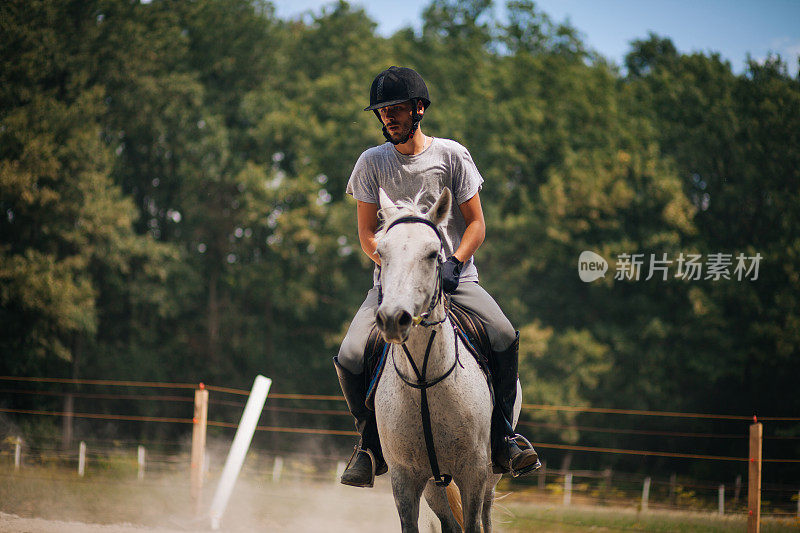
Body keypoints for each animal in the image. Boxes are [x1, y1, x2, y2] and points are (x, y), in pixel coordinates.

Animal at [372, 187, 520, 532]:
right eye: (381, 253)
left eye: (432, 254)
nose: (393, 318)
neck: (424, 379)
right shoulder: (405, 478)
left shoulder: (473, 471)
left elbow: (474, 523)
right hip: (434, 483)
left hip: (490, 475)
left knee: (485, 516)